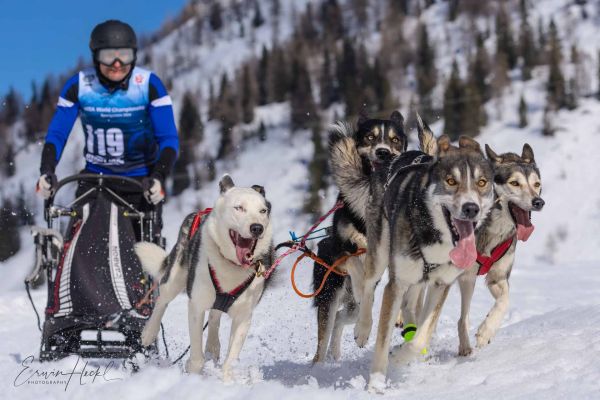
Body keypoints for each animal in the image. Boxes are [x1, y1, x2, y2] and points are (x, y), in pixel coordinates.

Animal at [134, 174, 272, 381]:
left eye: (263, 211)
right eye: (239, 208)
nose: (257, 227)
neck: (231, 264)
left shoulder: (244, 316)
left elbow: (230, 359)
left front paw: (226, 380)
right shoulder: (196, 305)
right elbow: (196, 355)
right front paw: (194, 373)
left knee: (215, 316)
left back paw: (213, 347)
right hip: (175, 277)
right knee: (161, 301)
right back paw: (149, 333)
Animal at [311, 111, 407, 363]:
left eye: (395, 140)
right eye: (369, 137)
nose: (383, 152)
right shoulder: (342, 249)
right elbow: (355, 264)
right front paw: (361, 283)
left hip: (349, 309)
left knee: (341, 319)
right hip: (329, 296)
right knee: (324, 338)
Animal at [354, 115, 495, 390]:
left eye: (482, 183)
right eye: (451, 181)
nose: (471, 208)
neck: (434, 237)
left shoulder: (441, 284)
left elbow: (421, 336)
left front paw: (401, 356)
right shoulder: (396, 284)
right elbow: (382, 339)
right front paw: (376, 382)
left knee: (413, 309)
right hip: (380, 252)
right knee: (368, 285)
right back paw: (362, 328)